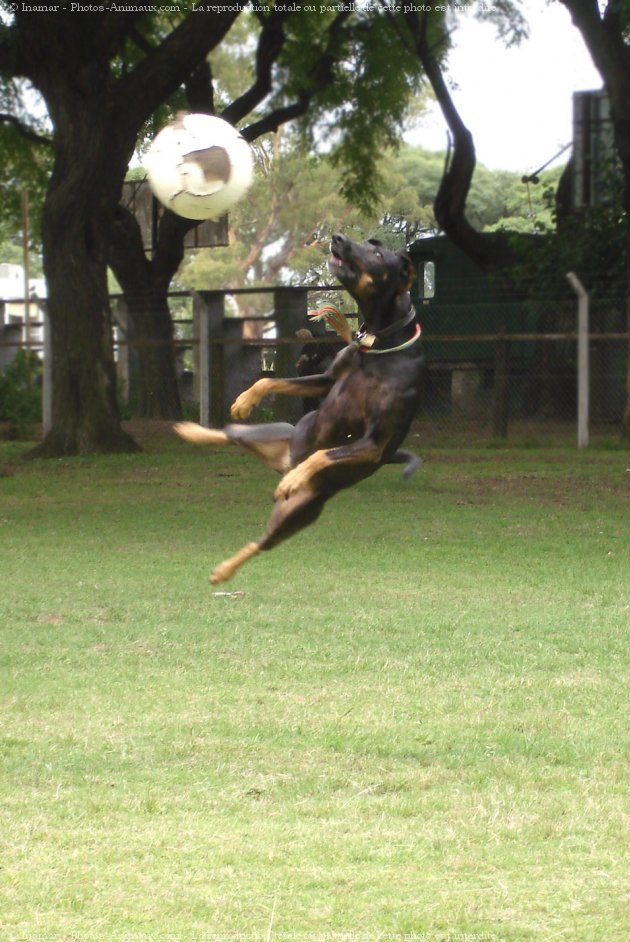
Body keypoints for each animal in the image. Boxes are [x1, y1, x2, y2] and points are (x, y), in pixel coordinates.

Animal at [175, 231, 428, 584]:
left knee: (260, 542)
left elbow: (323, 454)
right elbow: (271, 381)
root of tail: (283, 460)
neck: (379, 345)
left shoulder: (375, 443)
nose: (338, 237)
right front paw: (244, 400)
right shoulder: (328, 379)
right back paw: (194, 431)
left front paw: (296, 478)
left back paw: (226, 569)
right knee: (229, 433)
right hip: (273, 431)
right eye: (368, 244)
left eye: (378, 255)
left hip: (296, 513)